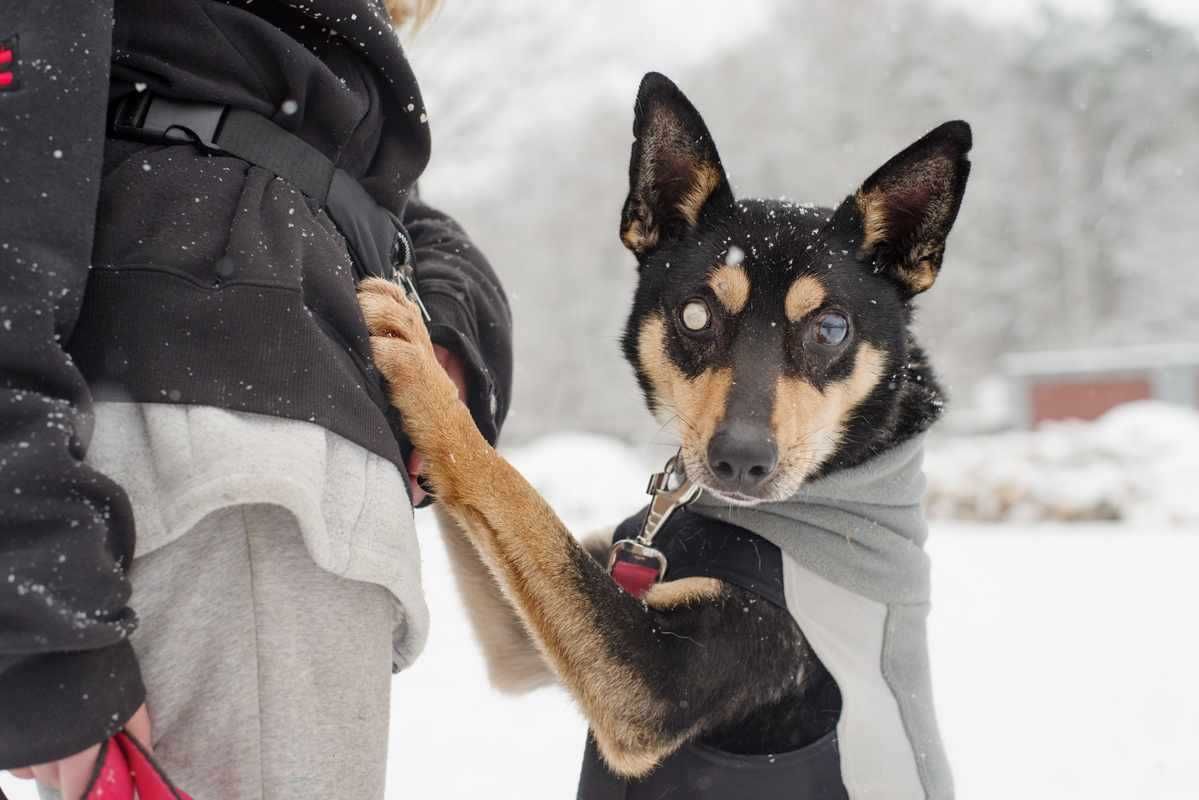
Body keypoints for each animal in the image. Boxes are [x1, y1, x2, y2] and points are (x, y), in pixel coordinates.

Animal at [354, 73, 963, 796]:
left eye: (832, 329)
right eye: (696, 315)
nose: (739, 461)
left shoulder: (655, 681)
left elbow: (510, 489)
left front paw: (420, 365)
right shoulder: (532, 635)